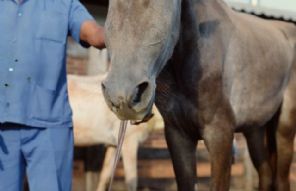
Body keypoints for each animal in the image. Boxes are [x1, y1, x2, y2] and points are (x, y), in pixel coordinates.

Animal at [101, 0, 296, 190]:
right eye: (112, 4)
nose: (122, 94)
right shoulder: (178, 136)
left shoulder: (220, 135)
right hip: (255, 129)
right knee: (266, 174)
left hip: (284, 128)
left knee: (281, 179)